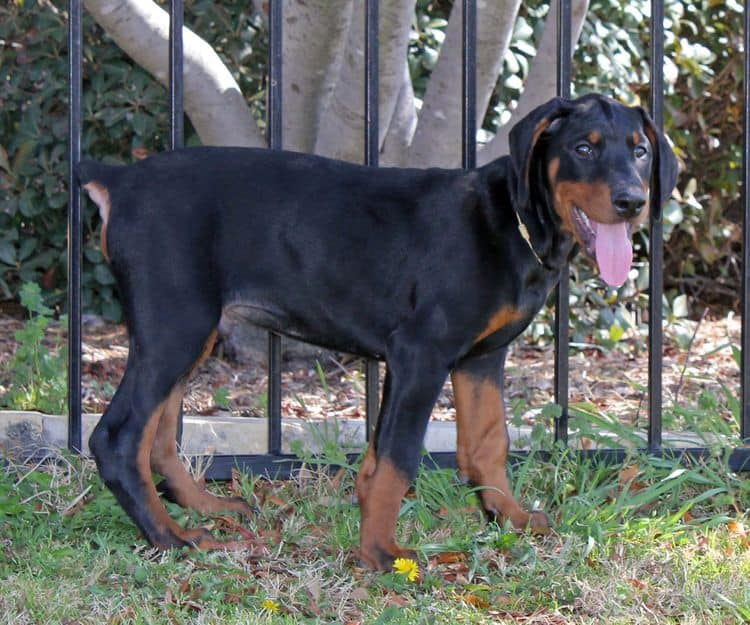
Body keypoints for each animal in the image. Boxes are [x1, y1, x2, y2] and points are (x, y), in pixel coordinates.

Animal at [78, 92, 680, 572]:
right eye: (584, 148)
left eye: (640, 151)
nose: (632, 201)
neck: (513, 221)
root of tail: (122, 179)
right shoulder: (420, 354)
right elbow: (397, 457)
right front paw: (381, 553)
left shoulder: (480, 359)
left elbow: (488, 443)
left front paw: (506, 517)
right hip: (175, 325)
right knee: (119, 437)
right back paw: (171, 539)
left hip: (187, 334)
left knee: (159, 437)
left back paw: (204, 510)